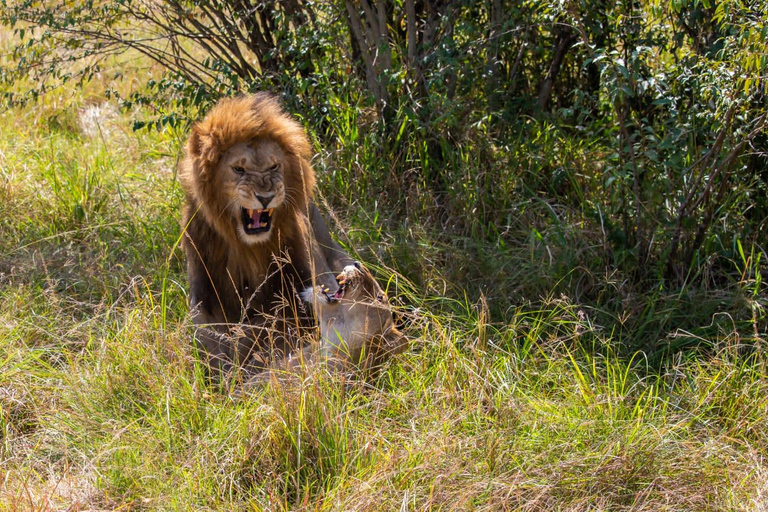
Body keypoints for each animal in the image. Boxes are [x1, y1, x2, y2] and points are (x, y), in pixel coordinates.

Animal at [181, 93, 356, 372]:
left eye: (274, 166)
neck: (250, 248)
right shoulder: (202, 299)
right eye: (239, 169)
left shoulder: (318, 284)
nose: (266, 197)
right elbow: (213, 346)